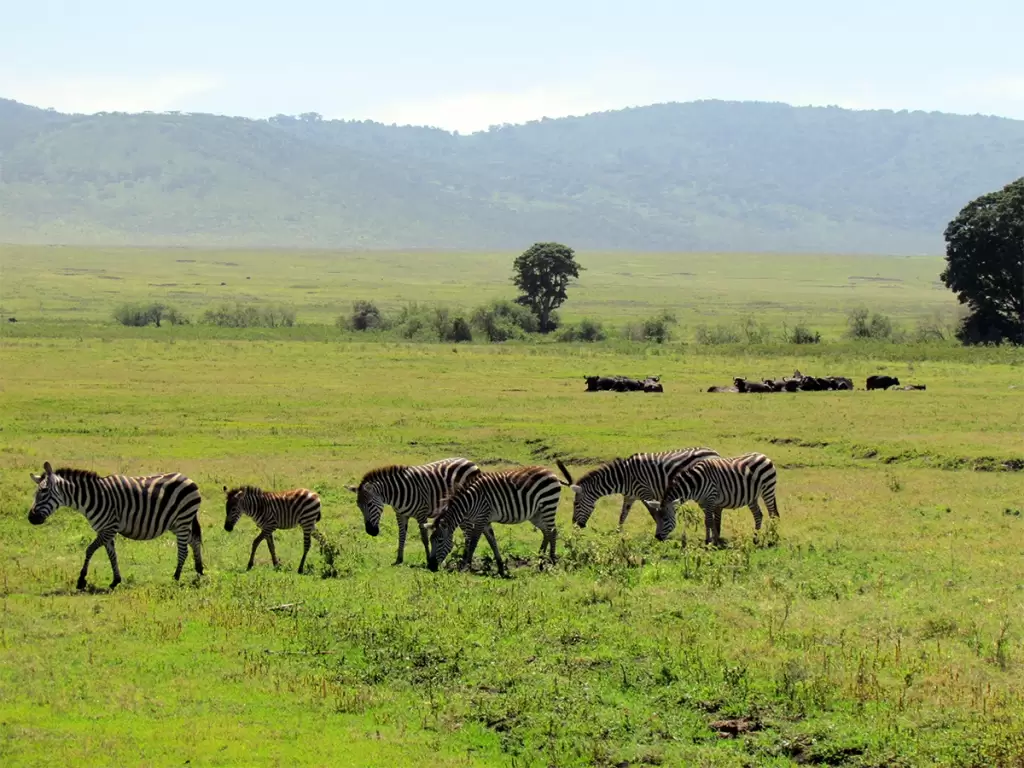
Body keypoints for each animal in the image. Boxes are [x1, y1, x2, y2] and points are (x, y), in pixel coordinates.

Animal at [27, 462, 203, 590]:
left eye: (44, 491)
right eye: (36, 493)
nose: (31, 518)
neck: (93, 497)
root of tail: (187, 478)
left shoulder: (109, 528)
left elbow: (89, 550)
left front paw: (81, 580)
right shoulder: (106, 530)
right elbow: (112, 555)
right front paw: (115, 580)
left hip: (182, 519)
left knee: (184, 550)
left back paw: (176, 577)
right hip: (176, 523)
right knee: (194, 541)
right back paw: (199, 570)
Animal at [346, 457, 482, 565]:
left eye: (369, 504)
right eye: (358, 506)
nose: (371, 532)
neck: (397, 493)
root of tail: (468, 460)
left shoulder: (421, 514)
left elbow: (424, 538)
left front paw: (428, 559)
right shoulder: (400, 514)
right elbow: (401, 536)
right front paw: (399, 559)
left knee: (468, 531)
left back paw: (465, 558)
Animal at [425, 466, 563, 577]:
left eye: (440, 541)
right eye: (431, 540)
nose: (431, 567)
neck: (470, 501)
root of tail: (550, 471)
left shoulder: (481, 518)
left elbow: (473, 543)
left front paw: (465, 566)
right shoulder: (485, 521)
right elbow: (492, 542)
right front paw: (501, 568)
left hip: (548, 505)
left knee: (553, 532)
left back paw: (552, 561)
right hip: (536, 514)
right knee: (546, 533)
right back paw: (540, 562)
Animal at [555, 448, 720, 531]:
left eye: (575, 504)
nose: (576, 525)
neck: (624, 477)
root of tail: (714, 452)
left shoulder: (645, 492)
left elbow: (654, 513)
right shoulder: (629, 496)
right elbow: (623, 514)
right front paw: (618, 533)